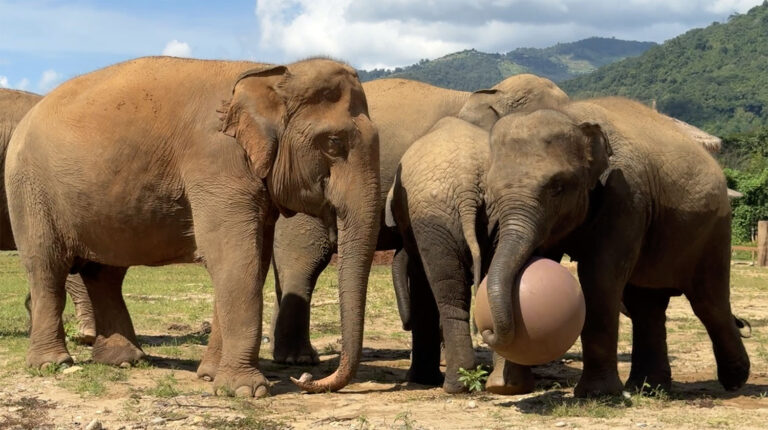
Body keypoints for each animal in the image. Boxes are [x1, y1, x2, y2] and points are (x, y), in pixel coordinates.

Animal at [482, 98, 749, 397]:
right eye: (488, 190)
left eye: (557, 187)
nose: (487, 331)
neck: (571, 114)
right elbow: (543, 256)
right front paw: (505, 388)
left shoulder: (626, 194)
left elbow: (600, 277)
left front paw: (596, 394)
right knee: (646, 304)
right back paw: (649, 388)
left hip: (715, 228)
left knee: (708, 301)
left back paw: (736, 380)